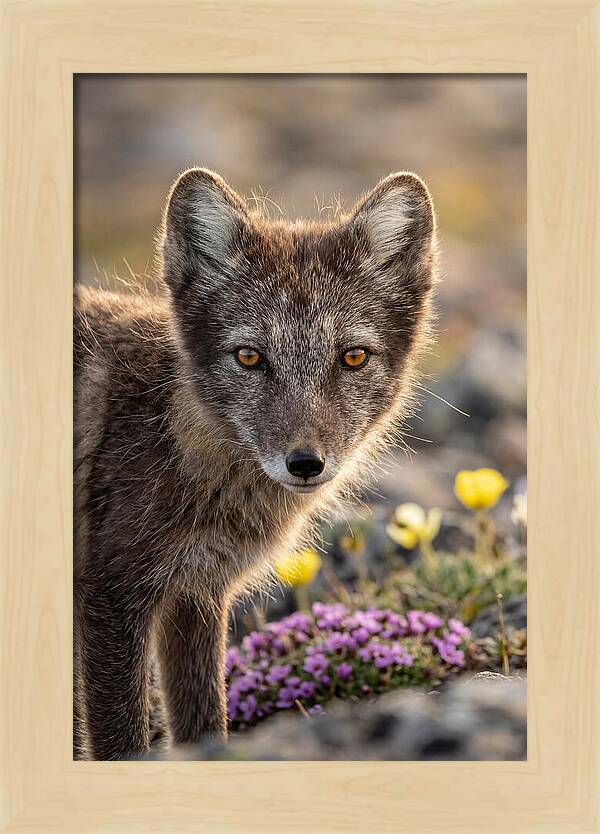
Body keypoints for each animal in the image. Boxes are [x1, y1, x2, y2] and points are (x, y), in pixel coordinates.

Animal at [73, 168, 438, 760]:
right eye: (249, 357)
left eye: (353, 357)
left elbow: (205, 726)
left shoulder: (196, 594)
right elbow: (122, 742)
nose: (305, 464)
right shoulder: (112, 595)